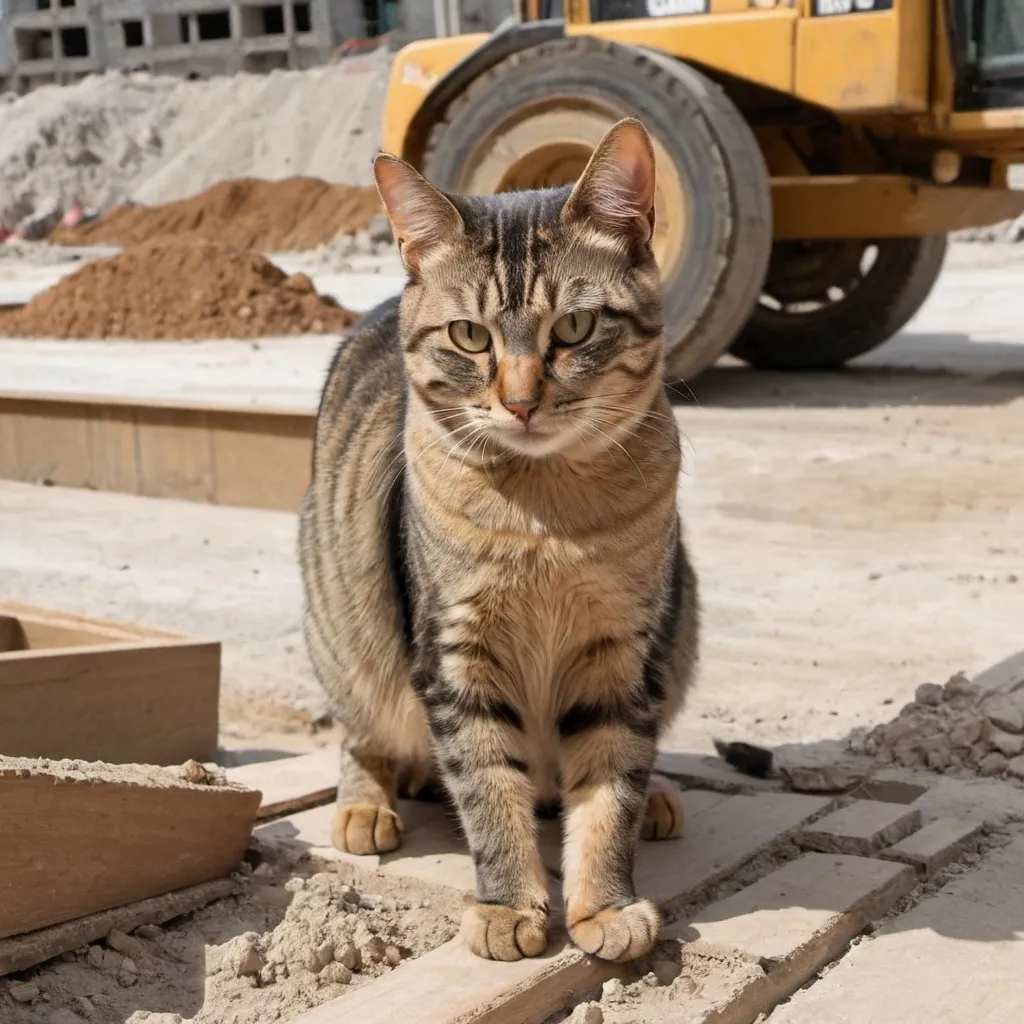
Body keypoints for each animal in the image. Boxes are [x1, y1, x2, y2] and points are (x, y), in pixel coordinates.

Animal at [296, 116, 696, 962]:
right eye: (470, 336)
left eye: (574, 327)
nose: (518, 401)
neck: (546, 520)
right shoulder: (456, 656)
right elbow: (487, 787)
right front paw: (509, 904)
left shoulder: (623, 652)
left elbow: (608, 785)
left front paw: (605, 903)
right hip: (344, 625)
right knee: (361, 734)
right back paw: (368, 802)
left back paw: (656, 796)